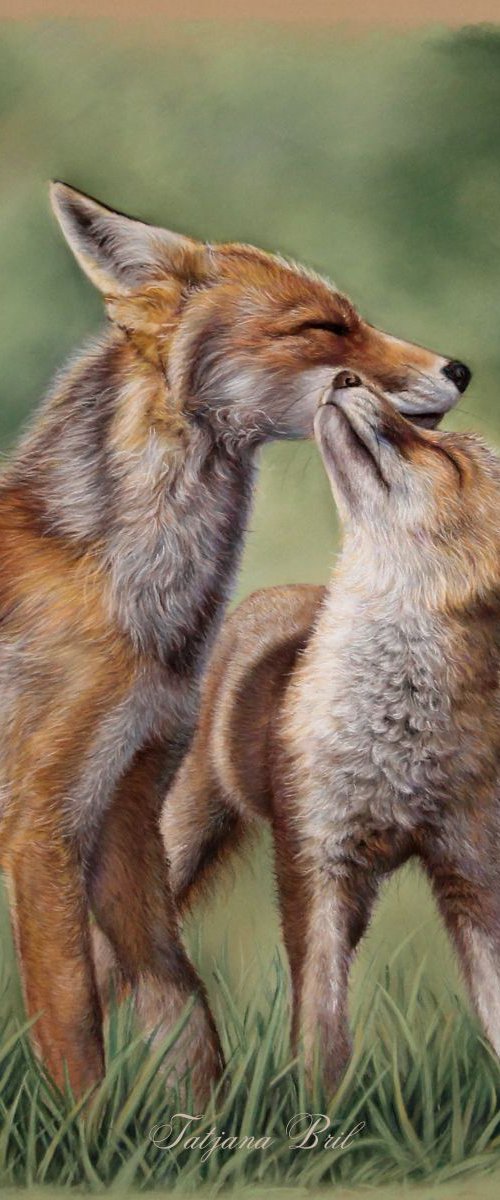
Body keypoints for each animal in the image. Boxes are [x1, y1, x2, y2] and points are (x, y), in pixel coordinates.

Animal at [162, 369, 500, 1093]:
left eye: (443, 456)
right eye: (431, 435)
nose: (347, 376)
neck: (398, 747)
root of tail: (280, 596)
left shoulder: (472, 866)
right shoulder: (314, 854)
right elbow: (320, 1027)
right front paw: (317, 1109)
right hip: (190, 826)